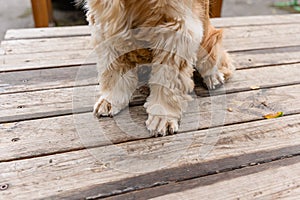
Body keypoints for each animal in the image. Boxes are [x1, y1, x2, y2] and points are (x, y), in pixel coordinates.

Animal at [79, 0, 234, 137]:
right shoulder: (107, 17)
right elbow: (114, 68)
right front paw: (112, 99)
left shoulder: (176, 28)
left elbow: (167, 79)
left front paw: (162, 116)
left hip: (209, 38)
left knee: (217, 59)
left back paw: (213, 76)